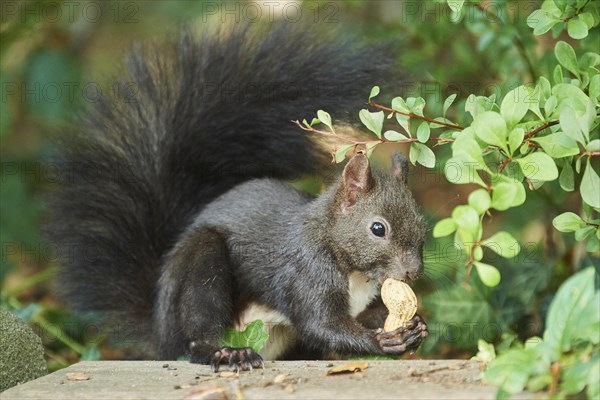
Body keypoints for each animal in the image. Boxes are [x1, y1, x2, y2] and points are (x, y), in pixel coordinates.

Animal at [45, 21, 432, 372]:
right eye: (378, 229)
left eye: (422, 226)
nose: (413, 272)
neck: (354, 270)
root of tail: (160, 331)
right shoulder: (306, 272)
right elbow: (321, 324)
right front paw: (383, 341)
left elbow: (361, 316)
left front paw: (415, 325)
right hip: (201, 269)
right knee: (196, 335)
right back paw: (227, 353)